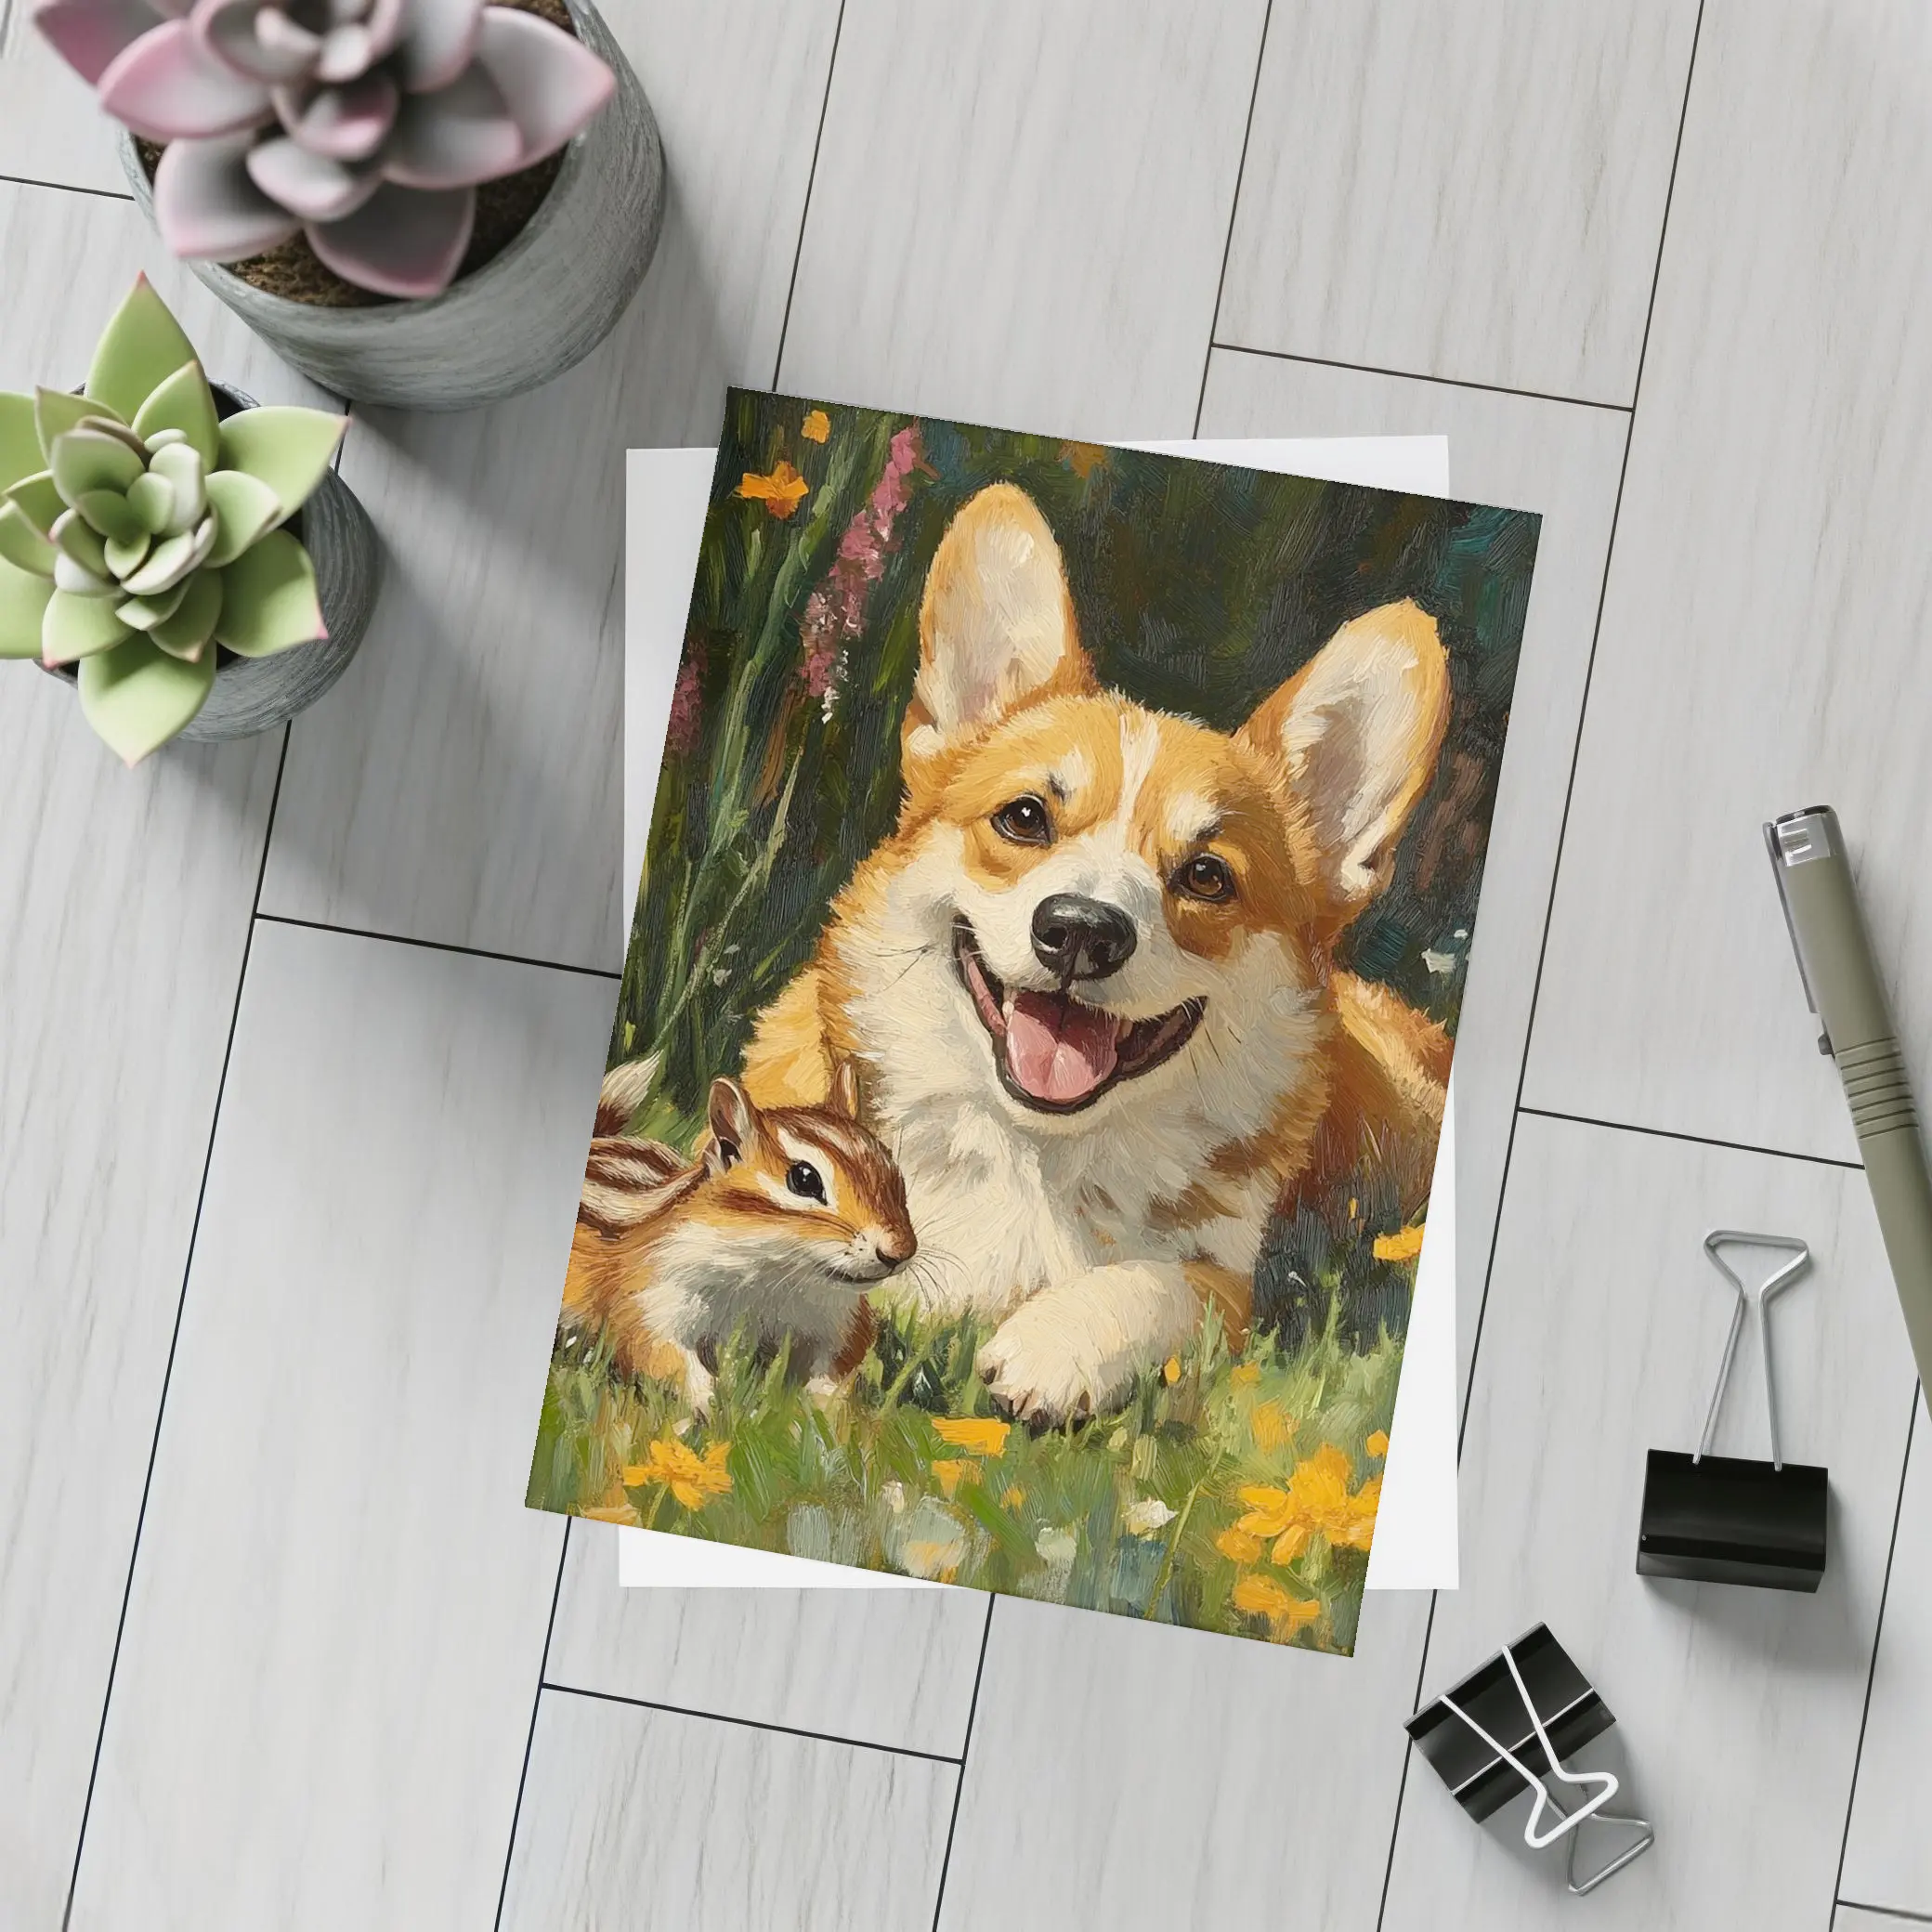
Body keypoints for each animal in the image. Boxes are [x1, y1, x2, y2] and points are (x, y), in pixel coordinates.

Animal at [562, 1057, 916, 1415]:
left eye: (893, 1169)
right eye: (804, 1180)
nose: (900, 1251)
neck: (769, 1275)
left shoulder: (842, 1323)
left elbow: (837, 1369)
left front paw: (825, 1411)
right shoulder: (650, 1298)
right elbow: (662, 1353)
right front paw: (712, 1405)